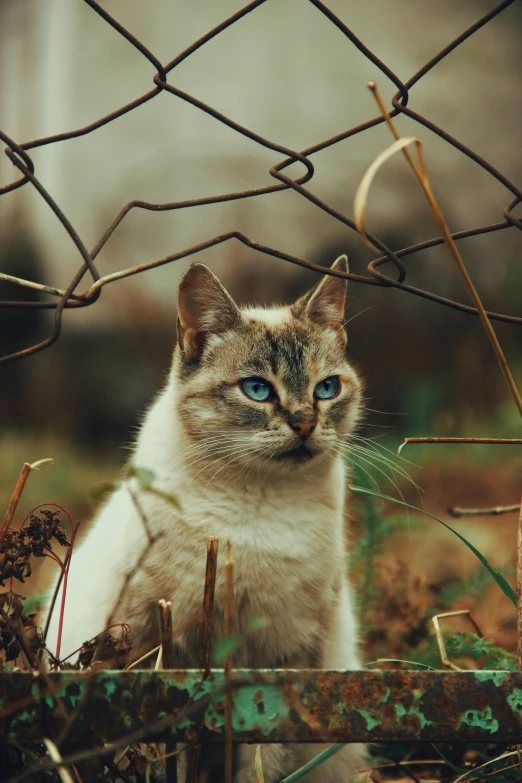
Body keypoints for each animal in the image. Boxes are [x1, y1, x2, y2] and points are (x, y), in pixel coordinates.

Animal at [46, 254, 368, 780]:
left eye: (326, 389)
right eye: (257, 389)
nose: (305, 423)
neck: (257, 504)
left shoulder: (283, 654)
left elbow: (264, 760)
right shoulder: (157, 645)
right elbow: (164, 756)